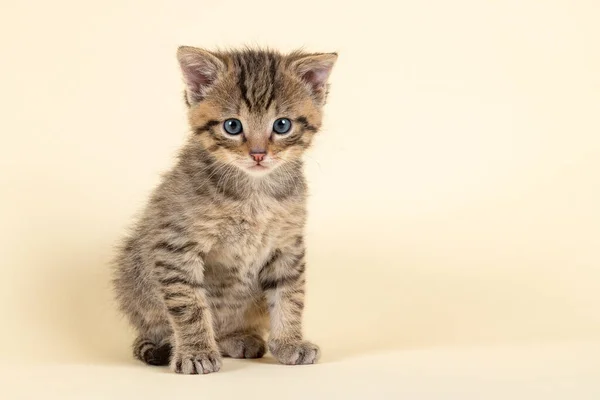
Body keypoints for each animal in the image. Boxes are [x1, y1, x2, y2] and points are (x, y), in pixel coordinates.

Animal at [112, 47, 338, 376]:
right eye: (232, 126)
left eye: (282, 125)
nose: (258, 154)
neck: (254, 192)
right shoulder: (176, 246)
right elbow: (189, 304)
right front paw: (196, 351)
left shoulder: (287, 244)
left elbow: (289, 295)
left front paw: (289, 342)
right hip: (133, 273)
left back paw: (236, 338)